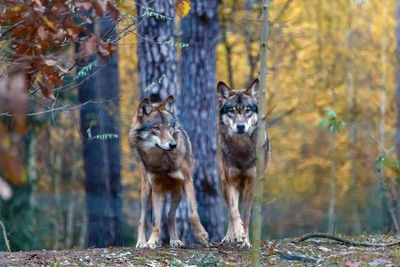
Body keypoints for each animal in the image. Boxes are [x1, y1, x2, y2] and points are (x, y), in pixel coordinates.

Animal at [130, 94, 209, 249]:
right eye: (157, 128)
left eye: (169, 127)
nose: (173, 144)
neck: (162, 160)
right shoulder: (157, 188)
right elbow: (155, 221)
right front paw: (151, 241)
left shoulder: (187, 181)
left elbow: (192, 213)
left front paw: (201, 236)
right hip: (146, 191)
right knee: (143, 219)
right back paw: (141, 242)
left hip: (177, 193)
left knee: (170, 217)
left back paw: (175, 240)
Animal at [217, 79, 270, 249]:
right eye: (232, 111)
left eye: (247, 110)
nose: (240, 126)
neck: (241, 149)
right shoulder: (230, 183)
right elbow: (234, 212)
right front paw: (238, 234)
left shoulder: (250, 184)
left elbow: (245, 217)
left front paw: (245, 240)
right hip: (223, 184)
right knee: (229, 210)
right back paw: (229, 237)